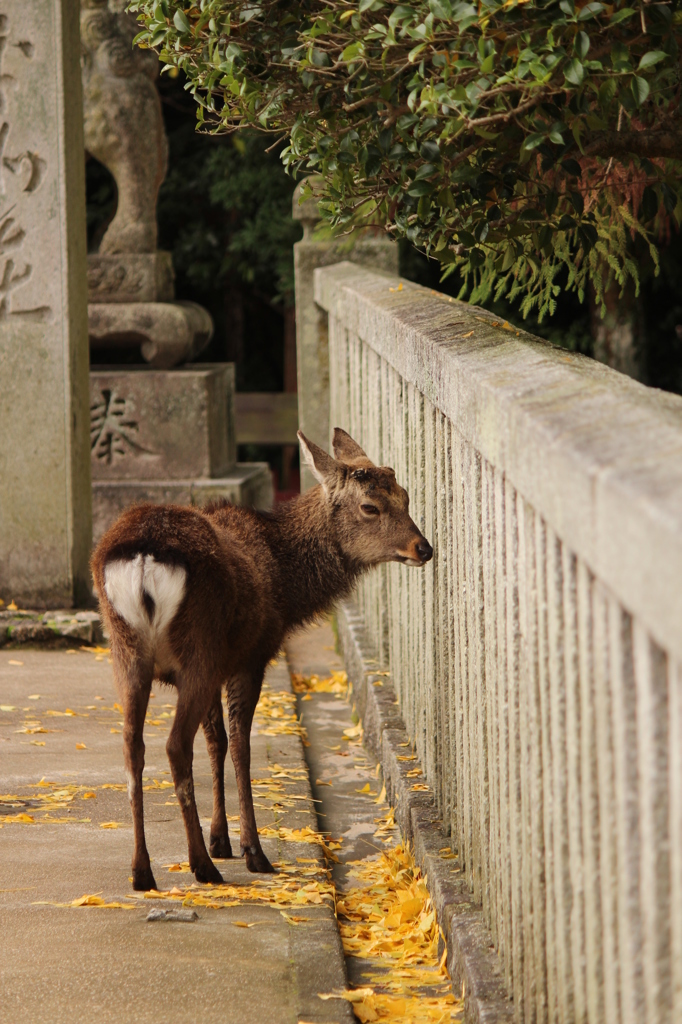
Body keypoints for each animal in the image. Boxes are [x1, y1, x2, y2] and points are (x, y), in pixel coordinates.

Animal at [90, 425, 430, 888]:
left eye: (406, 496)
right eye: (370, 506)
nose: (423, 547)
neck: (286, 585)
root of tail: (142, 557)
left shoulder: (220, 664)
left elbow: (215, 741)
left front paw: (221, 839)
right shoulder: (252, 656)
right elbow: (239, 745)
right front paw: (250, 849)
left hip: (126, 652)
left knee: (132, 745)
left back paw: (142, 870)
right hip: (197, 646)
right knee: (175, 745)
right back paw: (201, 865)